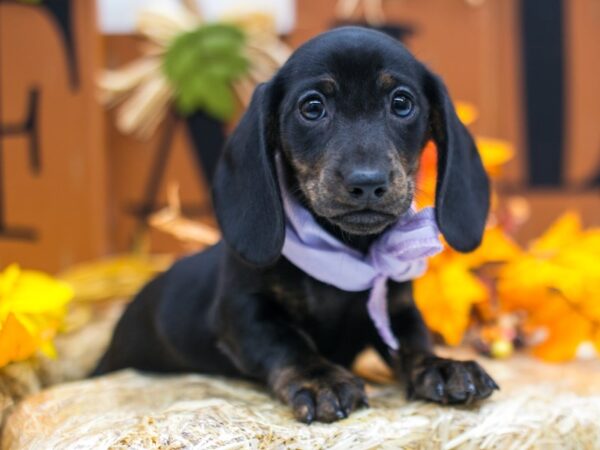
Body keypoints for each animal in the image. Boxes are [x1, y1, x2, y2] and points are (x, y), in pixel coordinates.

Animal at [96, 27, 500, 422]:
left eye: (402, 103)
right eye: (313, 107)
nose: (367, 182)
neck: (346, 254)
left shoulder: (395, 308)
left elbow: (413, 340)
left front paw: (439, 365)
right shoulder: (244, 313)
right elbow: (287, 343)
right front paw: (321, 380)